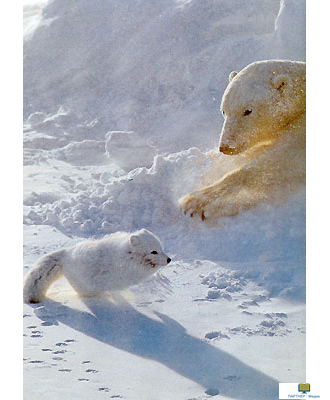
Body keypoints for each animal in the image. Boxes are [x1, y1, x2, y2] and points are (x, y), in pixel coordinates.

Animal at [22, 228, 171, 304]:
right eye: (153, 251)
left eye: (161, 248)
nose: (169, 259)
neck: (127, 254)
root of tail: (66, 254)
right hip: (85, 287)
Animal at [179, 59, 306, 222]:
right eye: (224, 111)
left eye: (247, 111)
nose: (226, 147)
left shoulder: (301, 136)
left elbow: (276, 162)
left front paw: (195, 201)